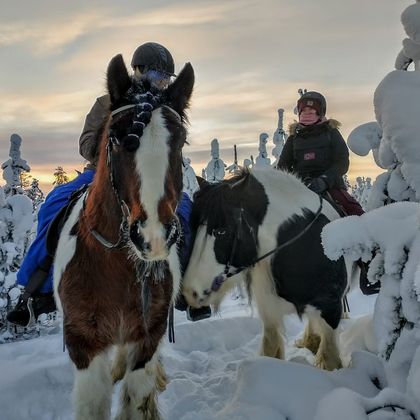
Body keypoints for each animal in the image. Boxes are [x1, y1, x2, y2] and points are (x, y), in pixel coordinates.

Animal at [53, 54, 194, 418]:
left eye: (180, 141)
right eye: (116, 139)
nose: (153, 236)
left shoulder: (147, 336)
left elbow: (137, 399)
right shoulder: (84, 344)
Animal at [182, 168, 352, 370]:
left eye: (221, 231)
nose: (189, 292)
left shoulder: (331, 309)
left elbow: (330, 359)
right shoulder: (269, 311)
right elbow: (271, 349)